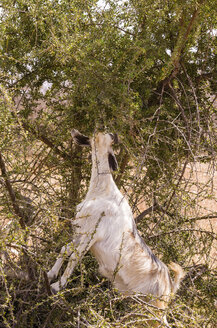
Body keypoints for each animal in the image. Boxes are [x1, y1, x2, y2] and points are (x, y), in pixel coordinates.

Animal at [48, 129, 185, 312]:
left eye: (107, 138)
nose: (100, 132)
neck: (102, 191)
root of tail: (169, 286)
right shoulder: (81, 231)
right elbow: (66, 249)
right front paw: (50, 274)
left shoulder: (92, 234)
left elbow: (74, 258)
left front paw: (57, 286)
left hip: (154, 310)